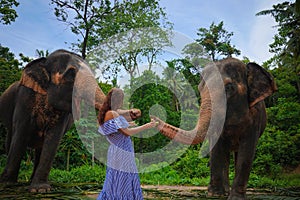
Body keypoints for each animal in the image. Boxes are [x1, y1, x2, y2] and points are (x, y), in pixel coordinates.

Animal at [0, 49, 141, 192]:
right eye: (71, 74)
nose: (135, 111)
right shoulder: (24, 99)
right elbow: (20, 134)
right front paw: (7, 185)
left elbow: (53, 139)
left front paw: (40, 190)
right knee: (11, 139)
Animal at [154, 57, 278, 200]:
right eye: (200, 88)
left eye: (229, 87)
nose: (153, 118)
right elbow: (217, 149)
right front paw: (215, 195)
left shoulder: (255, 119)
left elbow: (246, 153)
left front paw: (236, 198)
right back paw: (224, 191)